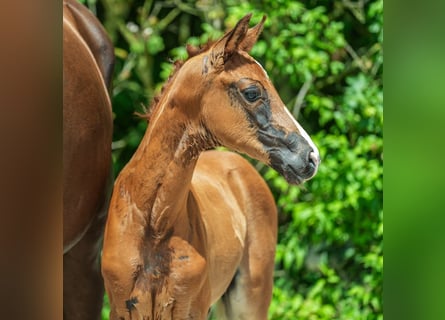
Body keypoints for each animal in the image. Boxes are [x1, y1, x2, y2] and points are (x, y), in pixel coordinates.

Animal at [102, 14, 318, 320]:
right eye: (252, 92)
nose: (311, 157)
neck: (152, 225)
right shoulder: (122, 309)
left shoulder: (192, 309)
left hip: (250, 298)